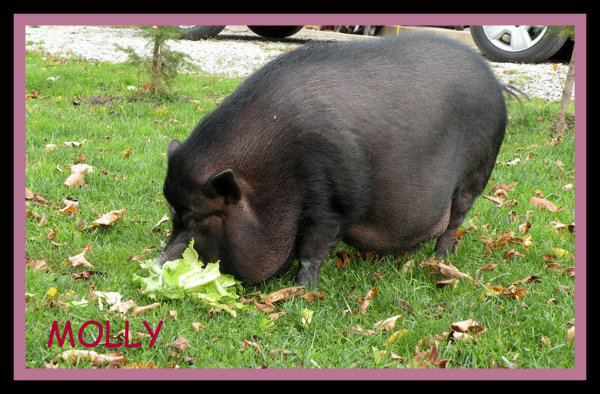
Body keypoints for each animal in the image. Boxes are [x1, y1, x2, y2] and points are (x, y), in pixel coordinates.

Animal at [158, 33, 506, 286]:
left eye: (203, 219)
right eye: (174, 214)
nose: (159, 263)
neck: (268, 177)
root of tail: (495, 81)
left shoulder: (333, 201)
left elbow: (310, 250)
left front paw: (301, 291)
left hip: (477, 172)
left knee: (455, 219)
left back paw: (442, 260)